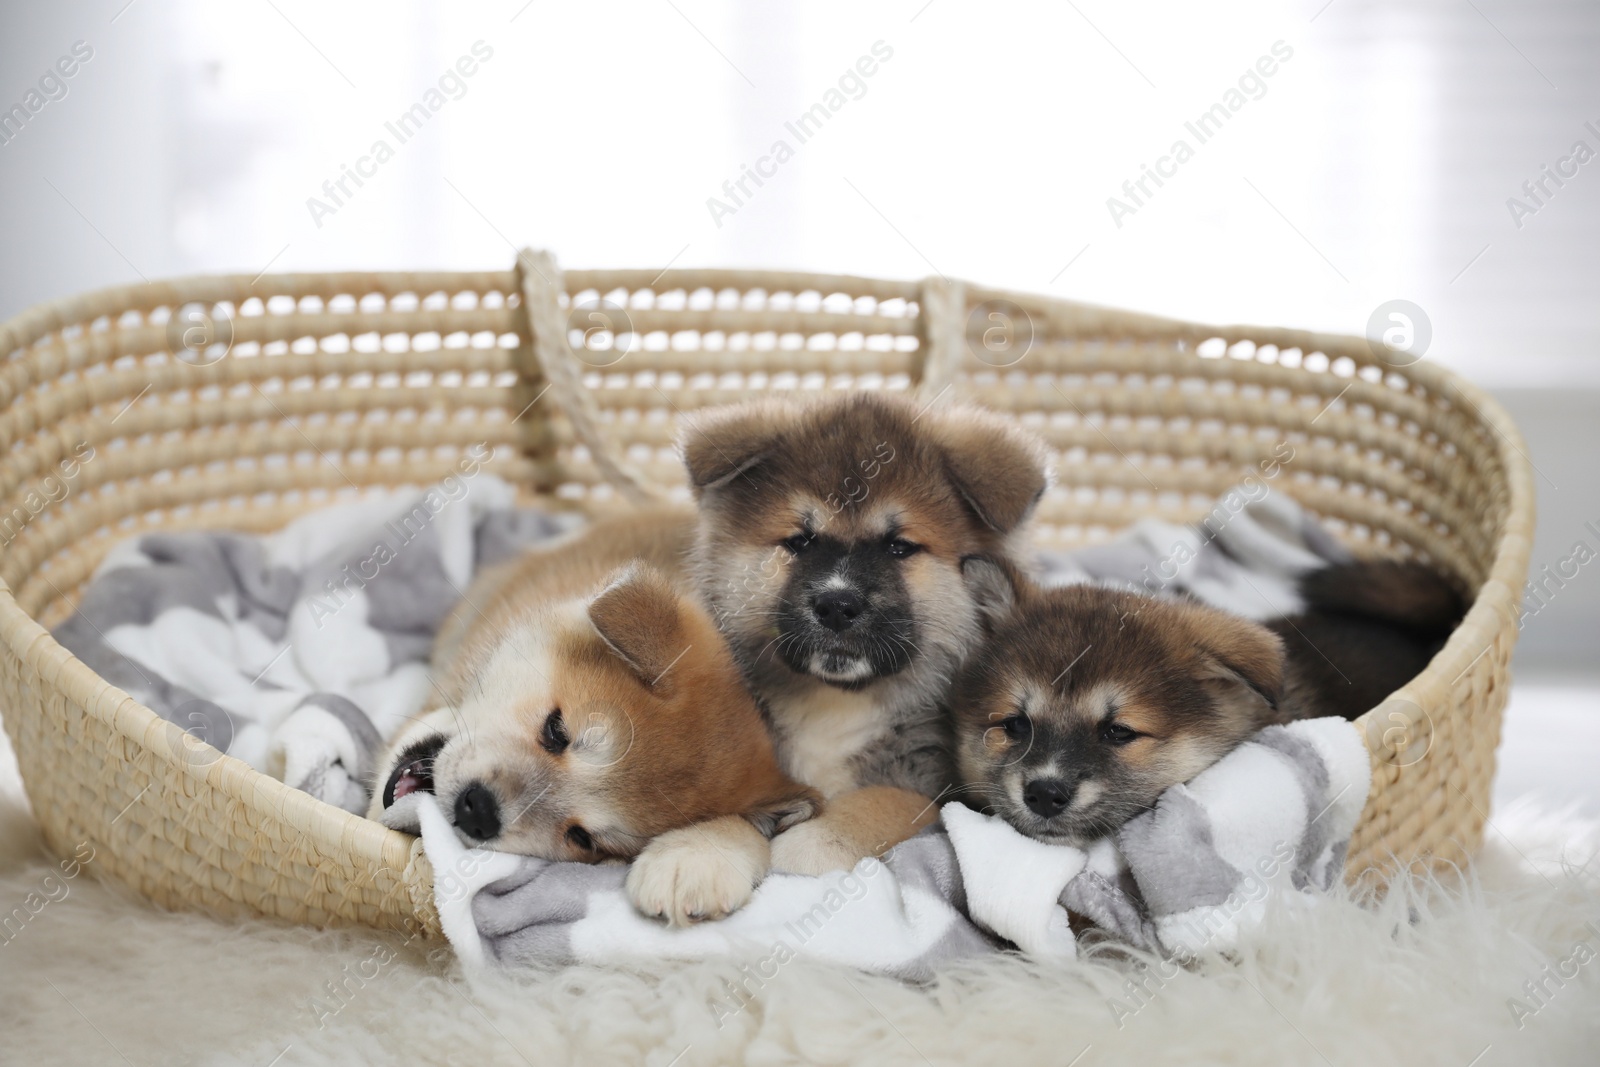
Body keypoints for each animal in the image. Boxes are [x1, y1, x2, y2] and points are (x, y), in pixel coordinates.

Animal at [684, 391, 1049, 876]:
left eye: (899, 547)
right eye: (800, 542)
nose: (837, 605)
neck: (837, 701)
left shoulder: (930, 784)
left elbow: (876, 803)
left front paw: (813, 842)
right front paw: (695, 853)